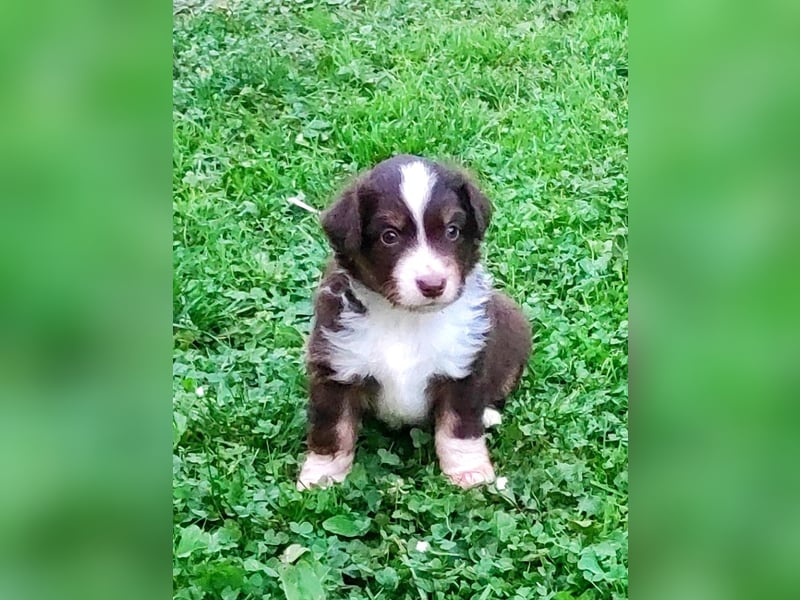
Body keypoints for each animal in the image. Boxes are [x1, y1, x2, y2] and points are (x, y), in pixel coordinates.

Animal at [296, 157, 528, 490]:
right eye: (389, 236)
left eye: (452, 231)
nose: (432, 285)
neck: (406, 319)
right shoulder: (336, 367)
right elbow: (332, 430)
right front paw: (321, 477)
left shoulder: (462, 368)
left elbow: (459, 428)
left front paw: (468, 472)